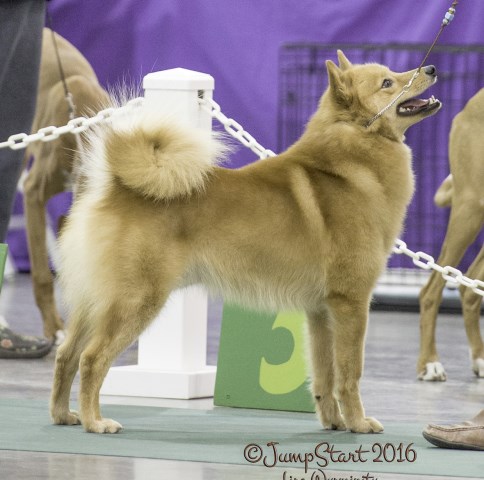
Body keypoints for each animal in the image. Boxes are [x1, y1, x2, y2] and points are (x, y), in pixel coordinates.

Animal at [50, 50, 442, 434]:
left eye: (393, 73)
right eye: (388, 82)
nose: (432, 68)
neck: (347, 161)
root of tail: (114, 186)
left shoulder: (321, 311)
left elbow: (323, 375)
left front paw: (334, 422)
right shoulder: (351, 303)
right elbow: (350, 372)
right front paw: (359, 423)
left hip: (94, 303)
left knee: (66, 354)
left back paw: (63, 414)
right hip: (135, 300)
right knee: (91, 358)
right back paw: (95, 421)